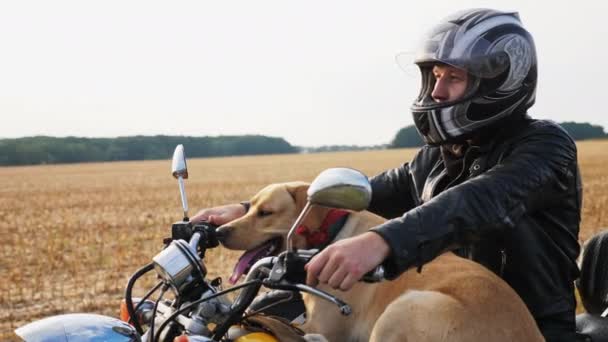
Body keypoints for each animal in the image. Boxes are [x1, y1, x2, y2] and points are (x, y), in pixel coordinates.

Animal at [220, 182, 548, 342]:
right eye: (250, 207)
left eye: (266, 213)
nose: (221, 232)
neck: (331, 233)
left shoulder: (324, 326)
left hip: (403, 308)